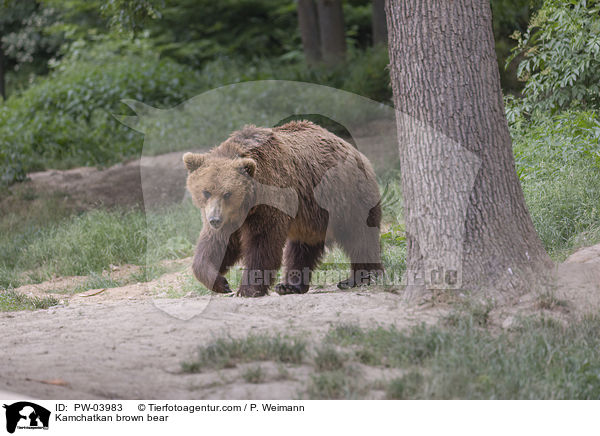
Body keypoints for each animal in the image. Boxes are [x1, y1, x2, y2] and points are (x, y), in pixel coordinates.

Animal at [183, 120, 382, 296]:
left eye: (227, 194)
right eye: (206, 192)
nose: (214, 220)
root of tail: (356, 152)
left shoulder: (270, 201)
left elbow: (262, 243)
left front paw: (247, 290)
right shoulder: (230, 217)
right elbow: (217, 244)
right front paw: (220, 282)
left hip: (348, 199)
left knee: (360, 236)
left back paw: (359, 278)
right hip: (312, 217)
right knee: (302, 247)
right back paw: (290, 285)